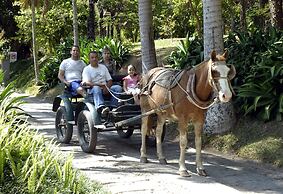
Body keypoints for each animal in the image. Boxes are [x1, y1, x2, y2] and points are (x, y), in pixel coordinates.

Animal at [139, 49, 235, 177]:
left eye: (228, 71)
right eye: (214, 71)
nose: (227, 95)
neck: (192, 86)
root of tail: (148, 73)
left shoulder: (200, 119)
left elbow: (198, 142)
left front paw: (200, 168)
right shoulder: (182, 119)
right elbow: (183, 142)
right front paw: (183, 168)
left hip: (161, 112)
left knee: (158, 132)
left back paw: (161, 157)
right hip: (145, 110)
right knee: (144, 129)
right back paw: (143, 155)